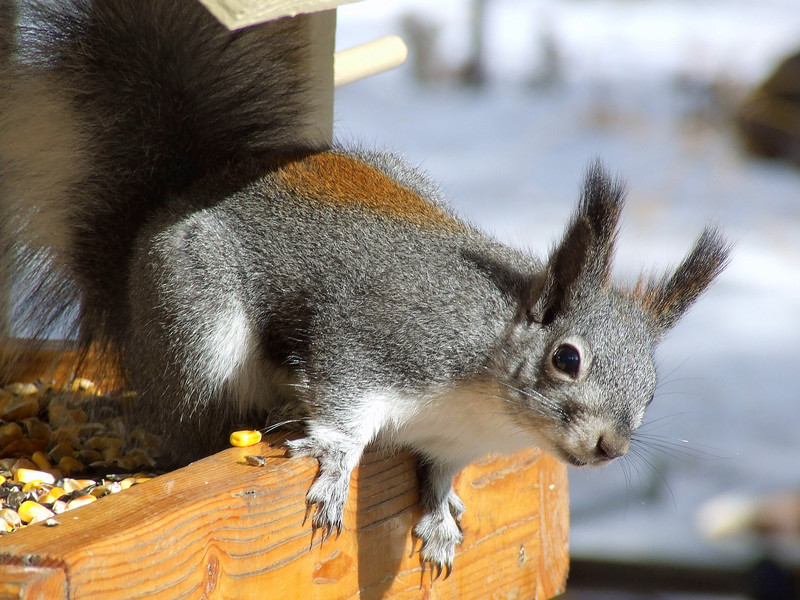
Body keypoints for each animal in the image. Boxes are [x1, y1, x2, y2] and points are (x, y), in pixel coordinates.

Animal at [0, 0, 729, 573]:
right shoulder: (377, 336)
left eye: (653, 392)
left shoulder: (450, 440)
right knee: (195, 421)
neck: (486, 397)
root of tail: (178, 196)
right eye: (567, 359)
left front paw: (437, 511)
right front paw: (335, 461)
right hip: (196, 323)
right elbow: (343, 400)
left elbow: (438, 471)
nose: (611, 447)